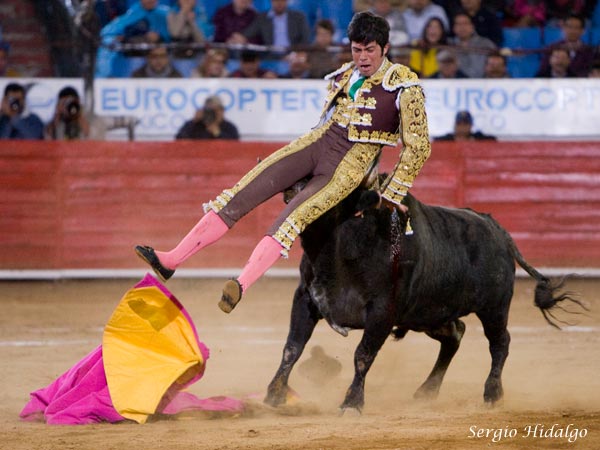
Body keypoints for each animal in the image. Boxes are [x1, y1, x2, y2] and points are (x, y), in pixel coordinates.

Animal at [264, 180, 582, 413]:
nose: (294, 191)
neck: (343, 248)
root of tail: (496, 228)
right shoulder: (306, 299)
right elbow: (292, 348)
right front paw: (274, 396)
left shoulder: (382, 312)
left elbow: (363, 355)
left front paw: (352, 403)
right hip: (428, 315)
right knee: (455, 335)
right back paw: (427, 391)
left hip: (494, 308)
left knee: (500, 343)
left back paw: (492, 394)